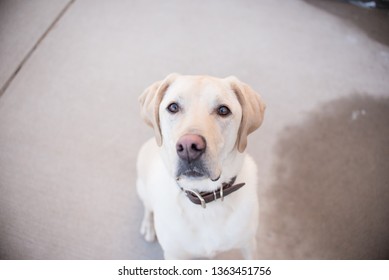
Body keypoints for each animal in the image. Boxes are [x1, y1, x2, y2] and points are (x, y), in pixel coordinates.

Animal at [135, 73, 266, 260]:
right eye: (173, 107)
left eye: (223, 110)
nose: (189, 147)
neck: (204, 198)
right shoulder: (174, 255)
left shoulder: (249, 245)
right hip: (142, 188)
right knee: (147, 207)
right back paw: (148, 226)